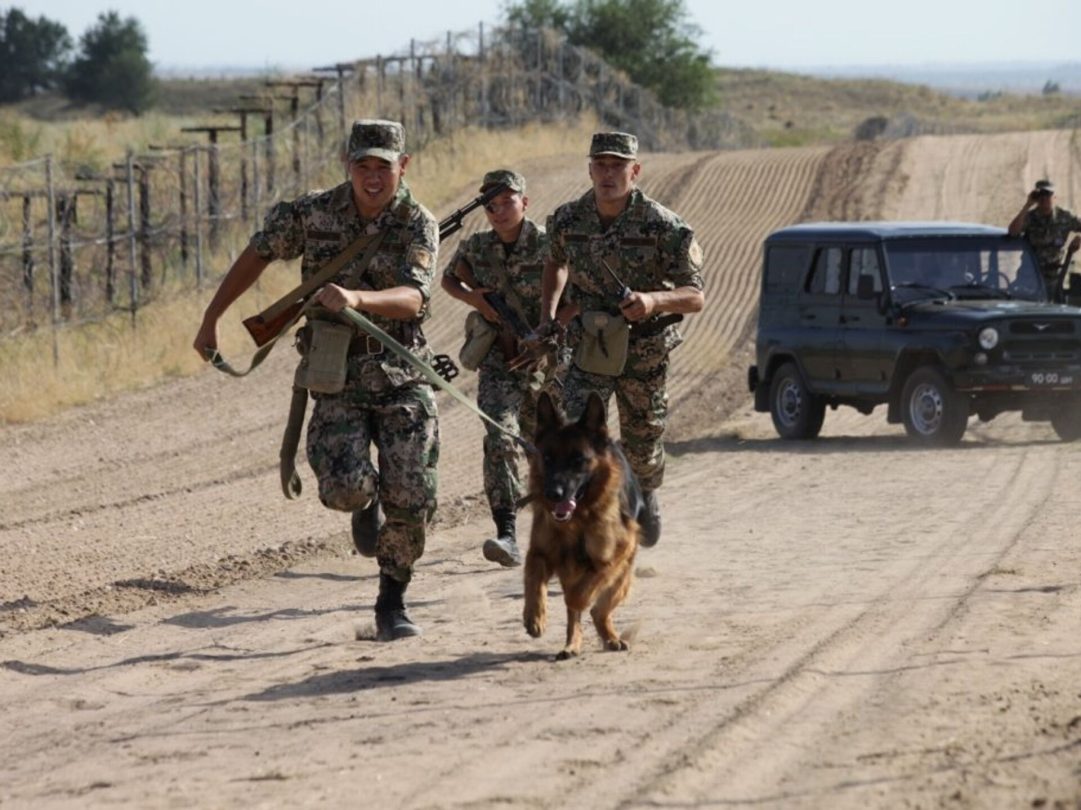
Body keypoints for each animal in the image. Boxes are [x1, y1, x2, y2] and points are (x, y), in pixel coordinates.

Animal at [523, 389, 639, 661]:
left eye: (578, 459)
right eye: (547, 458)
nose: (553, 493)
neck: (575, 523)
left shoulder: (610, 559)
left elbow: (577, 596)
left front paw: (575, 601)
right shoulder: (539, 553)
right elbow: (534, 581)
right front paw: (534, 617)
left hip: (621, 577)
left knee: (599, 610)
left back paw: (611, 637)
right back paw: (571, 645)